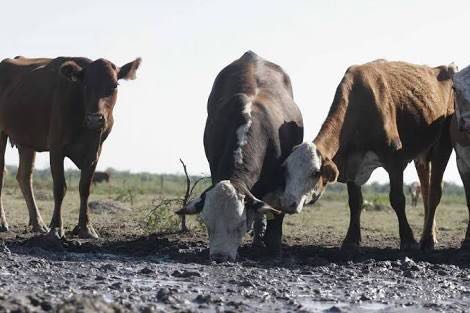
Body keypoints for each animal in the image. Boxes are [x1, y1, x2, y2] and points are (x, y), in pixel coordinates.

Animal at [0, 56, 141, 236]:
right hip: (2, 133)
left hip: (27, 141)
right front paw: (56, 227)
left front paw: (86, 227)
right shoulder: (56, 148)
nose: (95, 119)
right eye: (85, 85)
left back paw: (38, 223)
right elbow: (60, 187)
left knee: (25, 177)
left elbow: (84, 188)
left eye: (114, 85)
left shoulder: (94, 152)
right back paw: (3, 222)